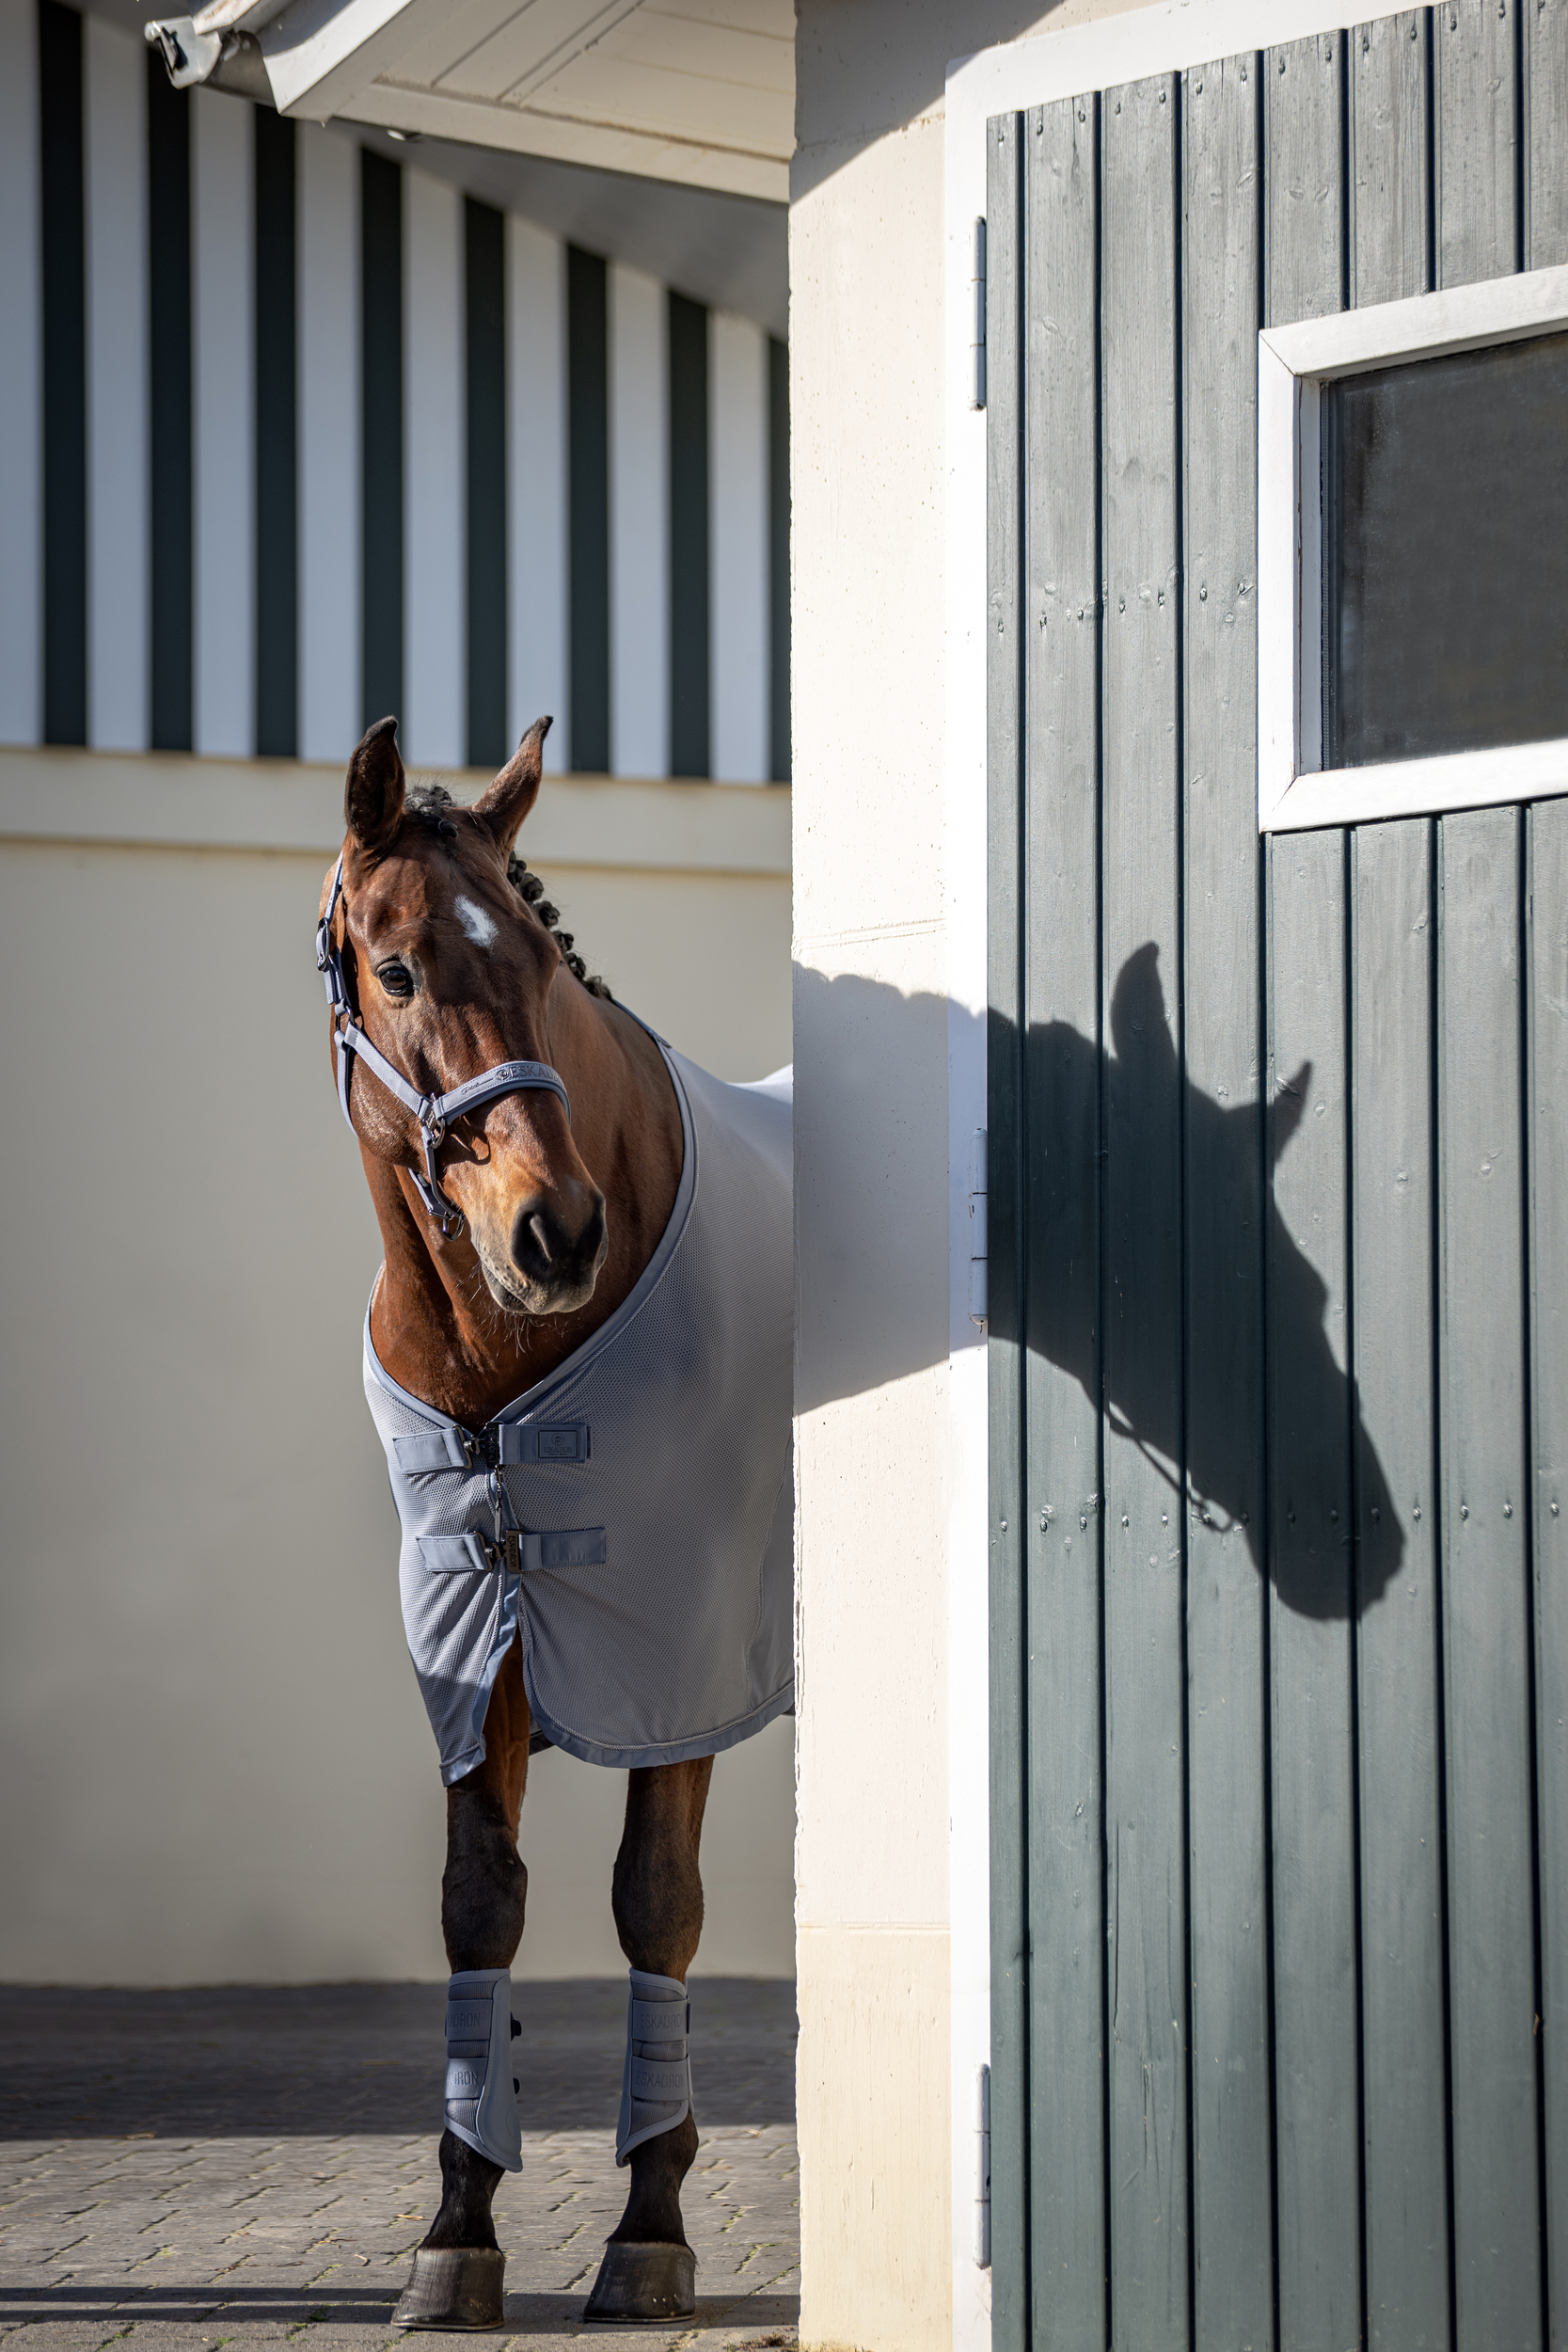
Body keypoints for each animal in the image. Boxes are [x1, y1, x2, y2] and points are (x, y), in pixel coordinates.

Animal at [316, 715, 793, 2329]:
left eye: (537, 951)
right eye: (397, 969)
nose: (555, 1230)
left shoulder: (675, 1644)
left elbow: (656, 1900)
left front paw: (647, 2225)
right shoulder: (476, 1634)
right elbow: (481, 1902)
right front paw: (455, 2229)